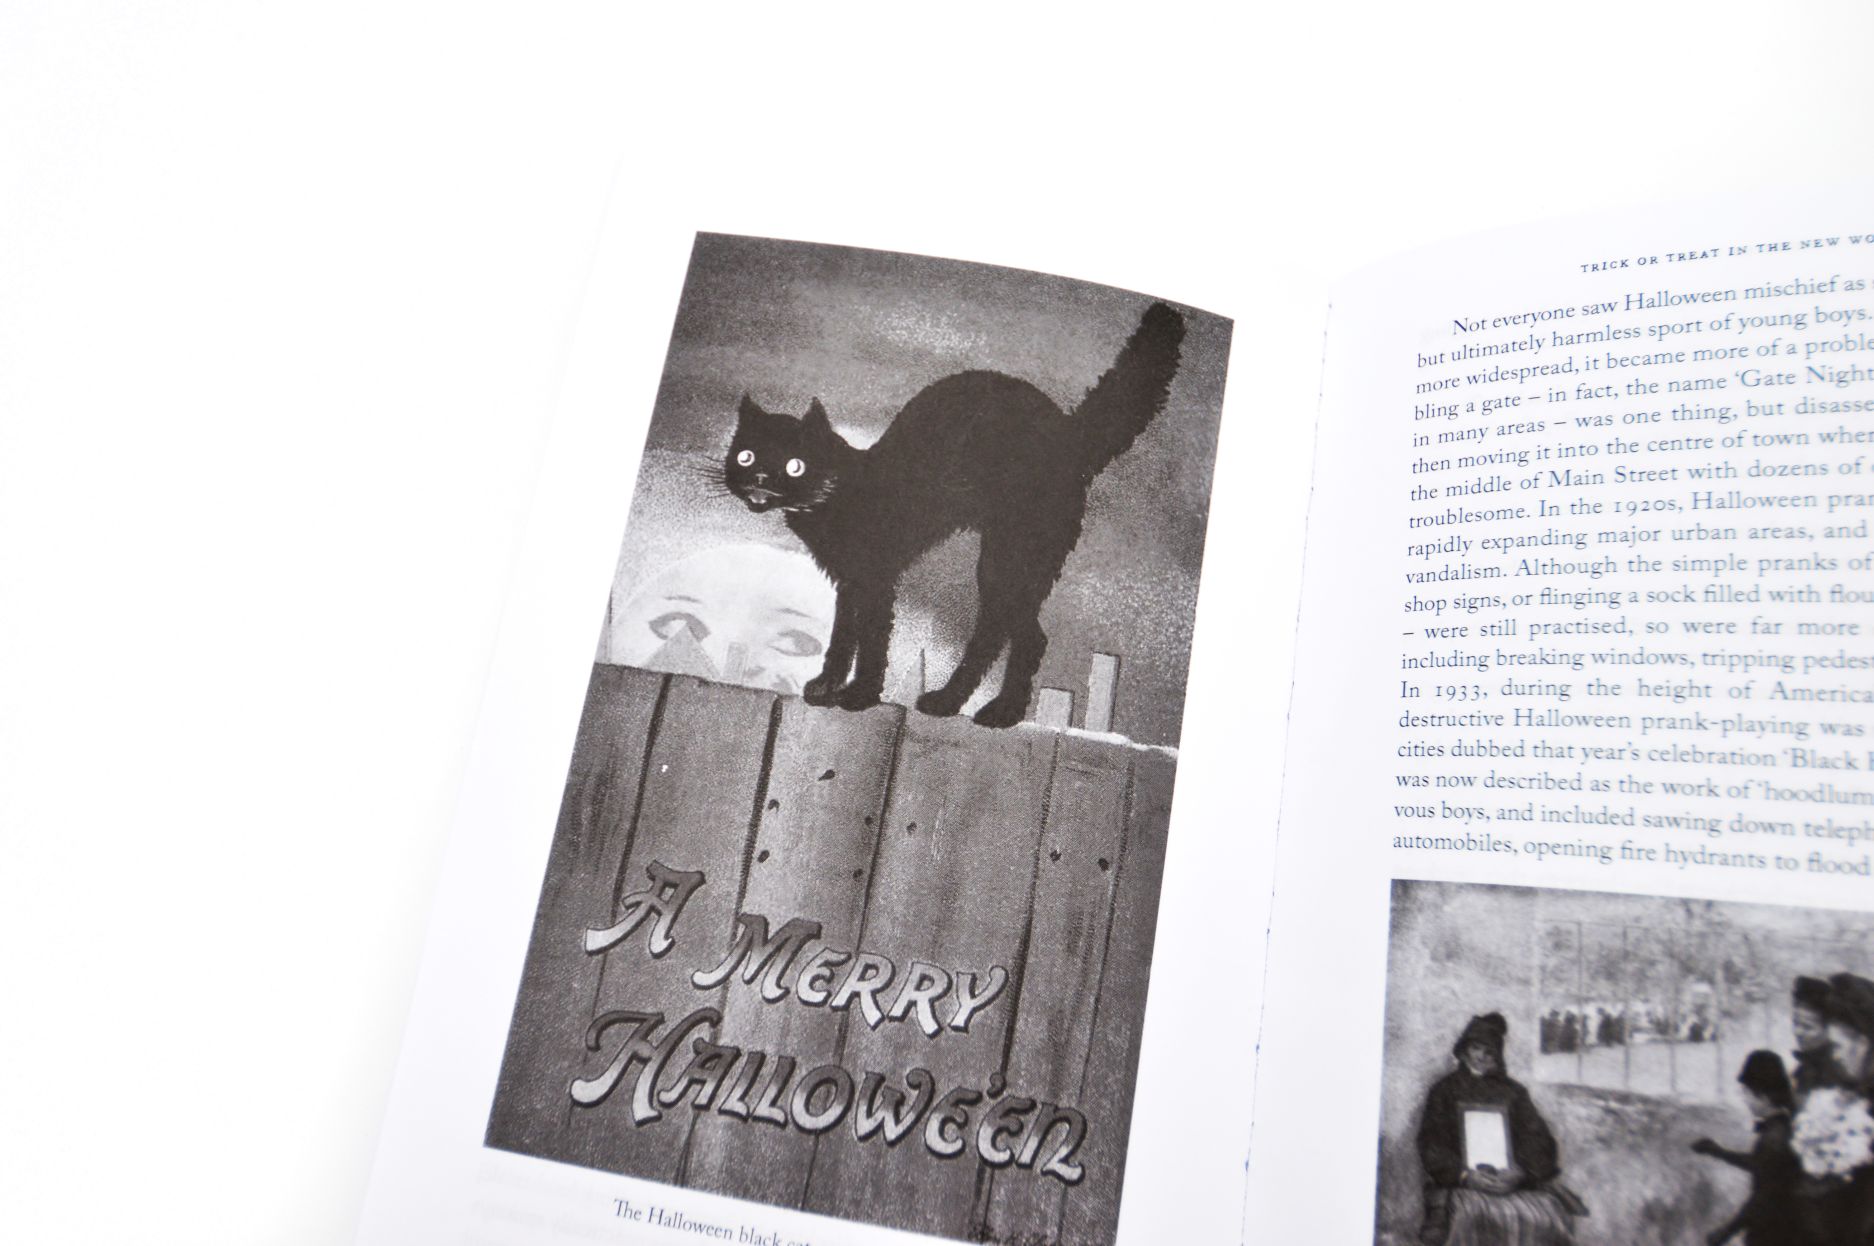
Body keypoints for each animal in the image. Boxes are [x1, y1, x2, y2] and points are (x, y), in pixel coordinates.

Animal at [722, 301, 1184, 728]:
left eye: (795, 465)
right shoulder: (849, 578)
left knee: (1028, 637)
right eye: (746, 456)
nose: (760, 476)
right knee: (997, 630)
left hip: (1011, 556)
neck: (841, 490)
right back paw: (950, 702)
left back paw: (999, 712)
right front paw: (826, 687)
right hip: (1006, 564)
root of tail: (1069, 432)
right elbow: (842, 636)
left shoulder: (875, 577)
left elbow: (872, 638)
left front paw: (860, 695)